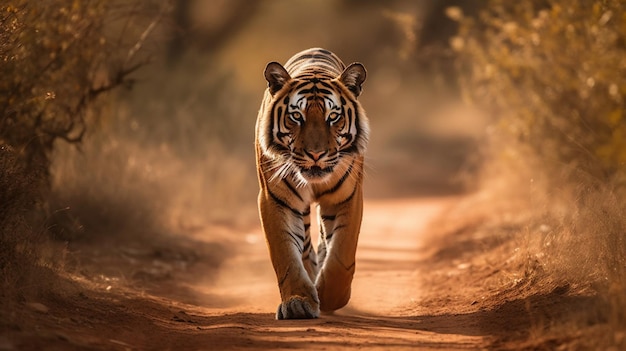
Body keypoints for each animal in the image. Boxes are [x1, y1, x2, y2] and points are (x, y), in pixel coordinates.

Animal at [256, 48, 368, 320]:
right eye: (297, 116)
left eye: (333, 117)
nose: (315, 154)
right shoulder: (275, 200)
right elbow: (286, 255)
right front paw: (298, 302)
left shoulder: (346, 197)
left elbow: (341, 255)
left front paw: (330, 297)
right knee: (305, 246)